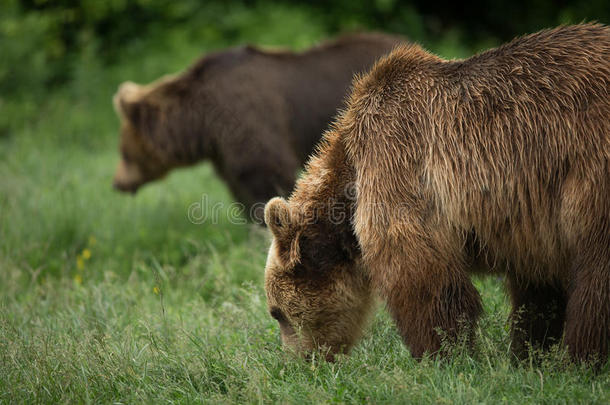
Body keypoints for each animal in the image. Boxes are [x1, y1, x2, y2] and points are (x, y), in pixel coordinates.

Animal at [113, 32, 404, 219]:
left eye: (123, 152)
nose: (117, 183)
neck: (202, 123)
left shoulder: (247, 117)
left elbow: (265, 174)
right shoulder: (223, 149)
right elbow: (239, 184)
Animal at [262, 25, 608, 366]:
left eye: (277, 312)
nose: (296, 363)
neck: (352, 177)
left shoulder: (398, 158)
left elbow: (420, 273)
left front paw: (443, 355)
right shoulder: (530, 216)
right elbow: (536, 292)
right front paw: (527, 353)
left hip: (590, 165)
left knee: (596, 269)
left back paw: (582, 358)